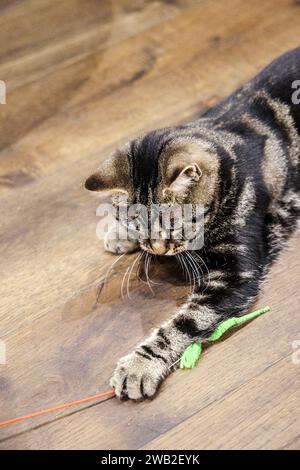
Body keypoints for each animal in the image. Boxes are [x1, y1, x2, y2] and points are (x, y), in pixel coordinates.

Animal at [85, 48, 300, 400]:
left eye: (173, 228)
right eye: (139, 226)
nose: (158, 249)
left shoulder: (233, 275)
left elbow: (183, 324)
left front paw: (139, 366)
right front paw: (119, 233)